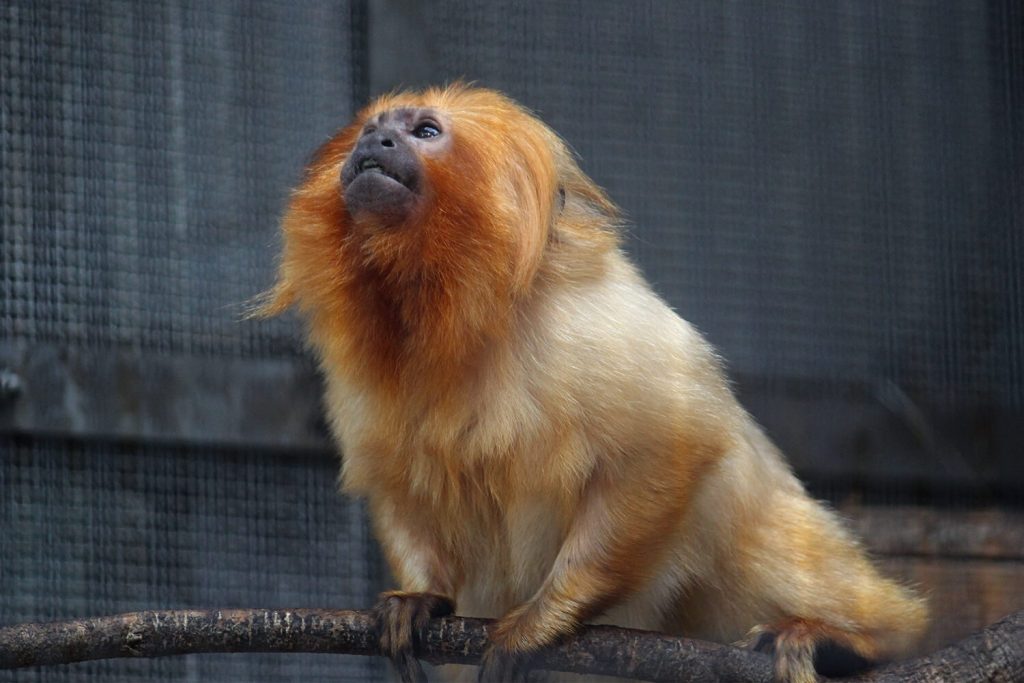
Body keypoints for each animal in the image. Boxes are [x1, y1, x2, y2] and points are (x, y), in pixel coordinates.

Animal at [251, 85, 925, 683]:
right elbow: (399, 485)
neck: (453, 319)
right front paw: (422, 597)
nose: (375, 141)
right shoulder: (357, 382)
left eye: (425, 131)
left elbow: (674, 445)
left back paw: (850, 639)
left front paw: (542, 621)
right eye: (371, 129)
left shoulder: (592, 328)